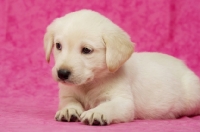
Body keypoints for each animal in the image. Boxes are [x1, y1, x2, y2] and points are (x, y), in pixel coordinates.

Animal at [43, 9, 200, 126]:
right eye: (58, 46)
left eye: (86, 50)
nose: (62, 73)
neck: (90, 83)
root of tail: (183, 65)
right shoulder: (67, 94)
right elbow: (69, 102)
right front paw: (69, 110)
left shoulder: (124, 102)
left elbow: (110, 105)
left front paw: (97, 112)